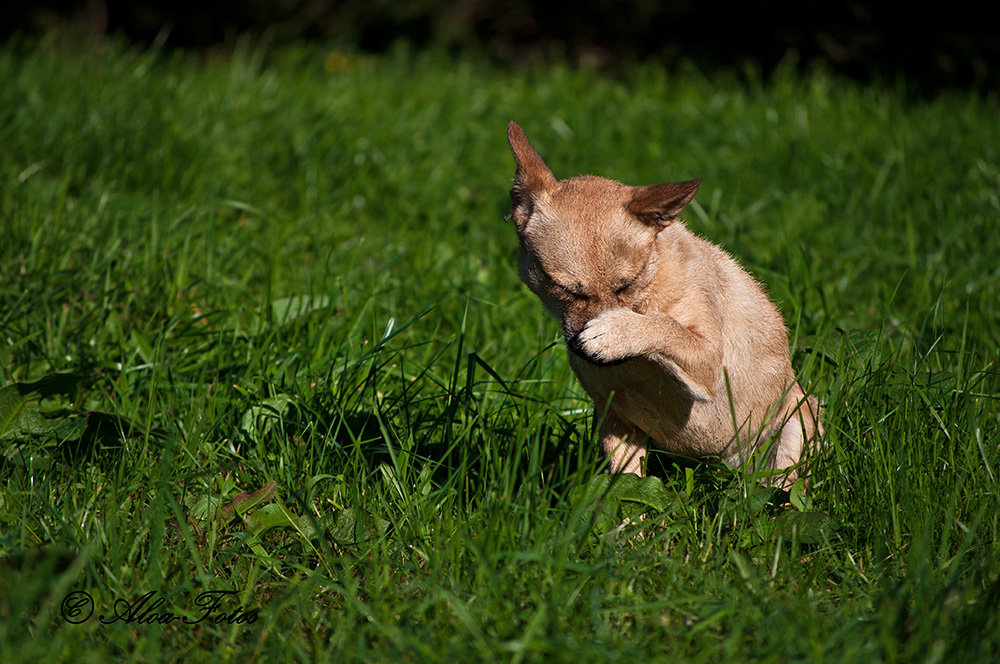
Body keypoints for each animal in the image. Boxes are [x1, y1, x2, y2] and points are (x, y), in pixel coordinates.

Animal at [508, 122, 820, 486]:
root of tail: (728, 464)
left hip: (795, 429)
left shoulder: (708, 359)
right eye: (564, 290)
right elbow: (627, 486)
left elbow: (666, 326)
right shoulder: (618, 423)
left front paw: (616, 331)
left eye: (627, 284)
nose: (595, 345)